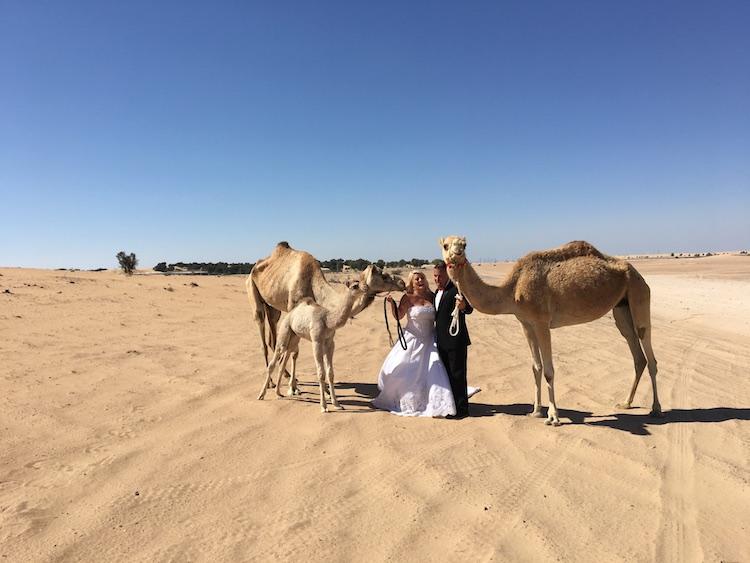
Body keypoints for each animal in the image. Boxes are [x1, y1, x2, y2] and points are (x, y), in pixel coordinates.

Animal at [246, 242, 405, 392]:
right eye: (383, 275)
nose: (402, 282)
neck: (312, 282)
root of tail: (255, 268)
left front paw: (325, 390)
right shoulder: (294, 308)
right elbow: (295, 352)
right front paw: (294, 388)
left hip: (272, 307)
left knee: (273, 337)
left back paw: (284, 375)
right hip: (252, 291)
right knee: (263, 334)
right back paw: (271, 383)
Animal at [257, 281, 366, 412]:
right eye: (355, 286)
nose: (365, 288)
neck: (328, 320)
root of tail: (290, 314)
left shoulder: (330, 342)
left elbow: (330, 373)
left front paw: (336, 404)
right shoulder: (317, 341)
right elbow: (321, 373)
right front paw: (323, 406)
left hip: (294, 338)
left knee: (284, 360)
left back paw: (278, 392)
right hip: (284, 332)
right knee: (273, 362)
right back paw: (261, 395)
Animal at [439, 236, 661, 426]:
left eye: (464, 244)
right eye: (445, 245)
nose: (457, 253)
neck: (512, 289)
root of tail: (636, 272)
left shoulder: (541, 322)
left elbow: (548, 371)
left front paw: (553, 417)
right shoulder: (526, 323)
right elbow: (535, 367)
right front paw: (536, 411)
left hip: (639, 293)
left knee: (648, 351)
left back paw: (656, 409)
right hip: (621, 307)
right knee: (637, 354)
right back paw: (626, 403)